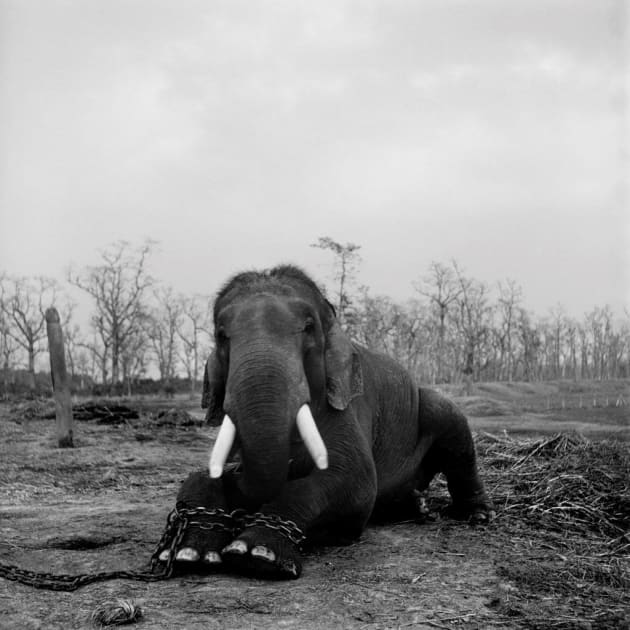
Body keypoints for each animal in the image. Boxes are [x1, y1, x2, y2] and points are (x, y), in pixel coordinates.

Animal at [160, 264, 496, 580]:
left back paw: (477, 515)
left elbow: (355, 480)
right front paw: (188, 553)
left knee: (454, 434)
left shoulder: (348, 408)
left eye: (309, 327)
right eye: (220, 334)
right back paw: (418, 505)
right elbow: (202, 476)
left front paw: (257, 554)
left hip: (436, 410)